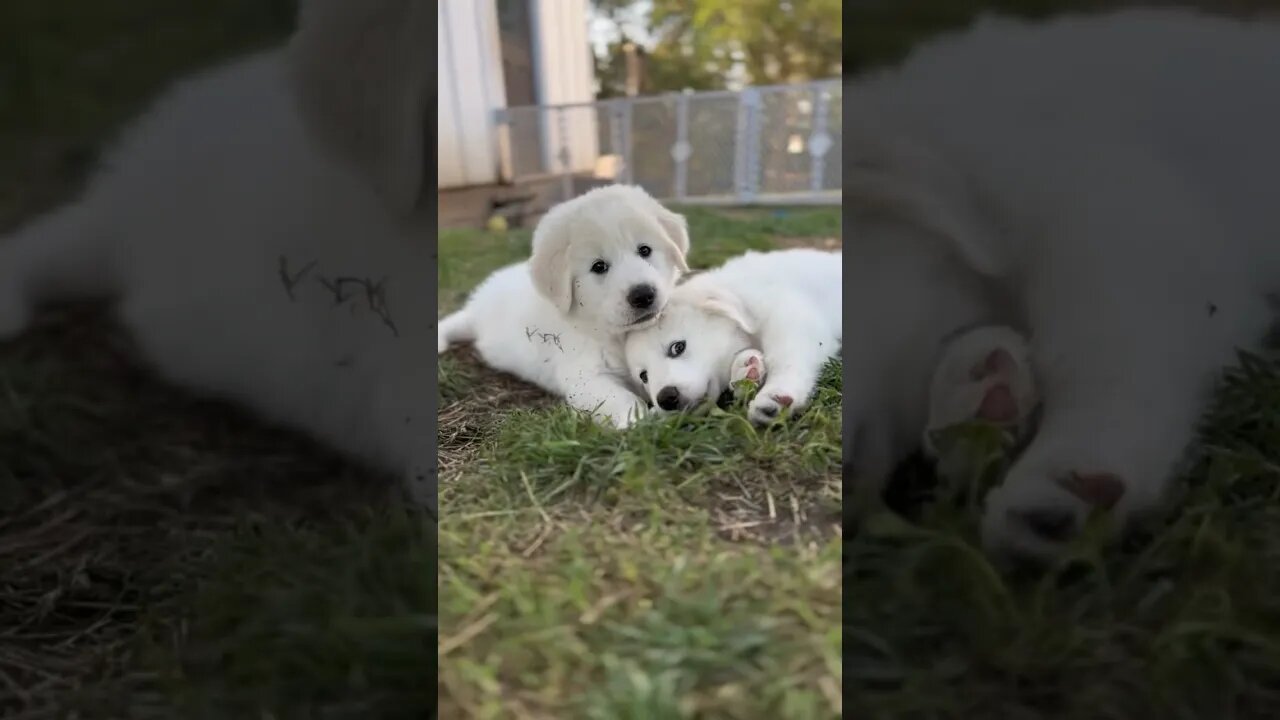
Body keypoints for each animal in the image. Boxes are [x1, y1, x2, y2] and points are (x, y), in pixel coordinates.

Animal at [437, 181, 691, 425]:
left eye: (645, 250)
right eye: (599, 266)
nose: (643, 295)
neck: (610, 333)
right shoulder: (584, 377)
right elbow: (620, 398)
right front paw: (639, 422)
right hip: (476, 320)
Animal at [624, 249, 844, 422]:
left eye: (678, 347)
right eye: (644, 376)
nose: (665, 399)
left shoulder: (792, 319)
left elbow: (786, 358)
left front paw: (776, 394)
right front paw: (747, 369)